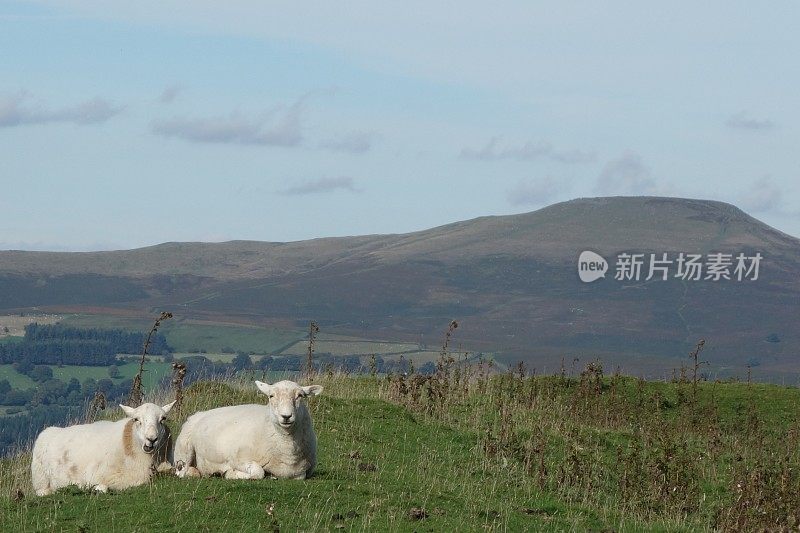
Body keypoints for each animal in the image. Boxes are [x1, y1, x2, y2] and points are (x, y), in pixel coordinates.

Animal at [32, 400, 175, 494]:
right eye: (136, 419)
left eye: (163, 419)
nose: (152, 439)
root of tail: (48, 431)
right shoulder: (94, 473)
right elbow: (103, 486)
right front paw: (90, 487)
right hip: (41, 482)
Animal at [174, 380, 322, 480]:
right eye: (271, 396)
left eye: (300, 396)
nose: (286, 416)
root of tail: (198, 414)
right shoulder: (236, 459)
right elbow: (258, 472)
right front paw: (230, 473)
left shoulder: (301, 471)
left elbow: (300, 475)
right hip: (184, 450)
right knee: (182, 471)